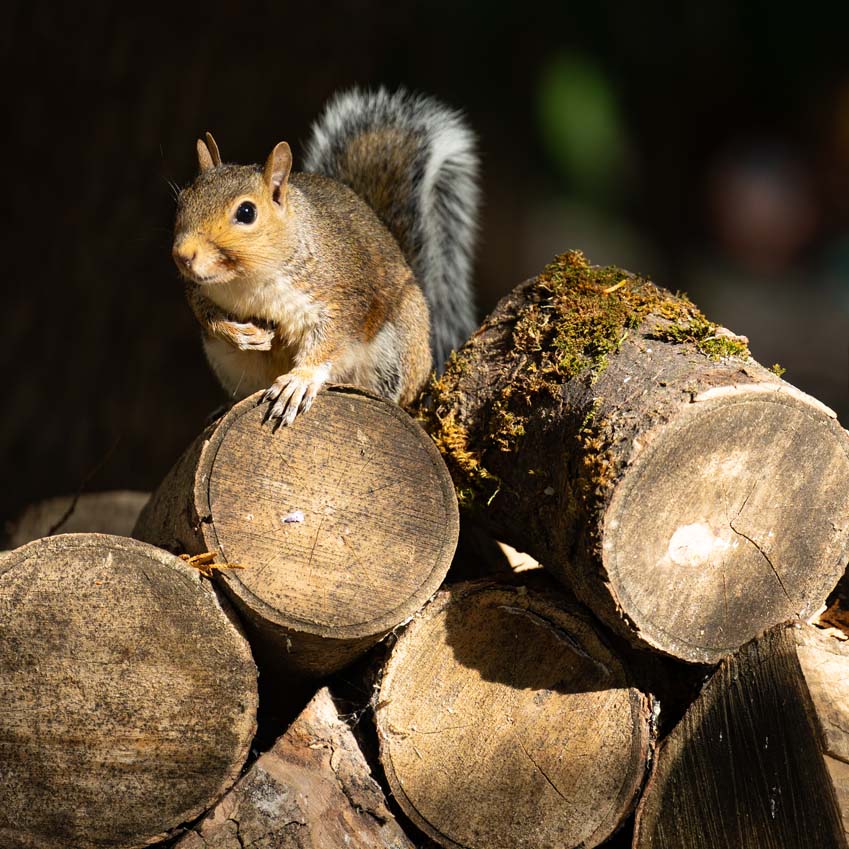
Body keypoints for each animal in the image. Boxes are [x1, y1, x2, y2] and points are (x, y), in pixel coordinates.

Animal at [172, 88, 479, 425]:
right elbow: (205, 313)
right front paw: (237, 333)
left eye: (247, 212)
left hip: (395, 351)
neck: (250, 280)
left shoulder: (340, 295)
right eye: (183, 200)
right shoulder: (199, 290)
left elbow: (329, 339)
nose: (182, 255)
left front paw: (300, 380)